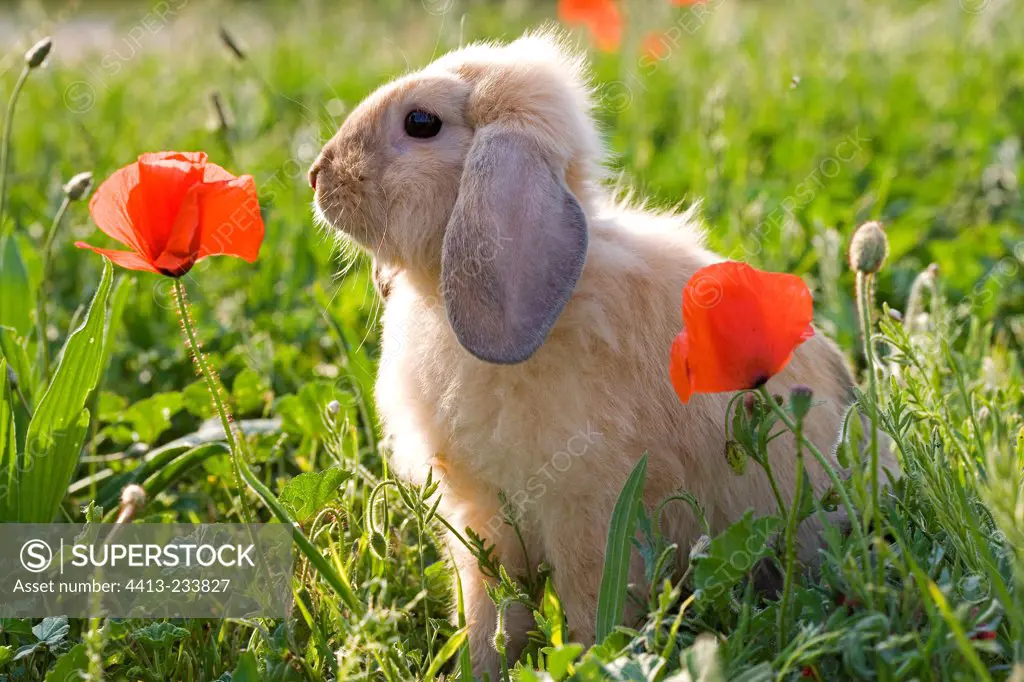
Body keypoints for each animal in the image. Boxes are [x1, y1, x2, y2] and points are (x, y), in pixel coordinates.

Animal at [305, 29, 897, 675]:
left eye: (420, 122)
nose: (316, 174)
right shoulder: (482, 522)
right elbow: (491, 615)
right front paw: (479, 670)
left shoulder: (588, 510)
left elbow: (590, 607)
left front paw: (589, 660)